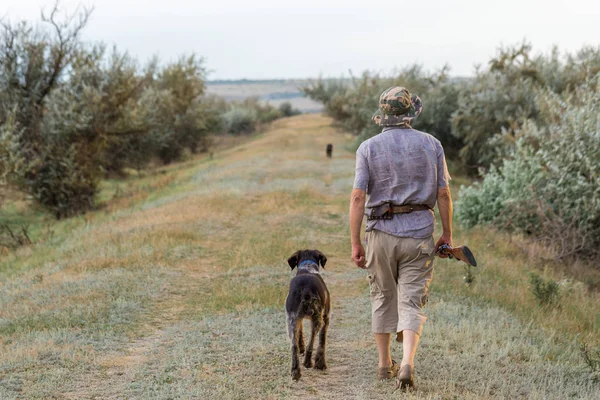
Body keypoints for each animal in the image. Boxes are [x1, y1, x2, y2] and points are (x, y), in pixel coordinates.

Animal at [284, 250, 330, 382]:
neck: (307, 268)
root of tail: (305, 289)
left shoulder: (297, 319)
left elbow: (300, 334)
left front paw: (301, 347)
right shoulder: (326, 318)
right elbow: (322, 341)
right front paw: (320, 364)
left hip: (291, 320)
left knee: (293, 346)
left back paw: (295, 371)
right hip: (318, 319)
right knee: (312, 342)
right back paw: (308, 363)